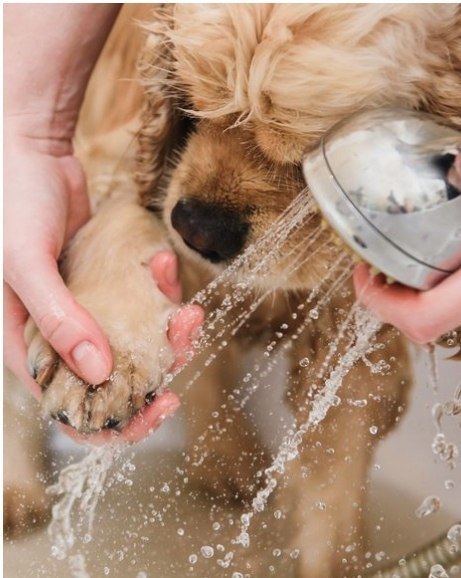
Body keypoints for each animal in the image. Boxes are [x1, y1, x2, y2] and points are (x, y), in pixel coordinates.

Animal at [4, 4, 460, 576]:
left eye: (310, 152)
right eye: (194, 101)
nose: (198, 228)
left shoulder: (357, 325)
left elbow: (334, 484)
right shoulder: (127, 161)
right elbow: (120, 221)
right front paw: (101, 367)